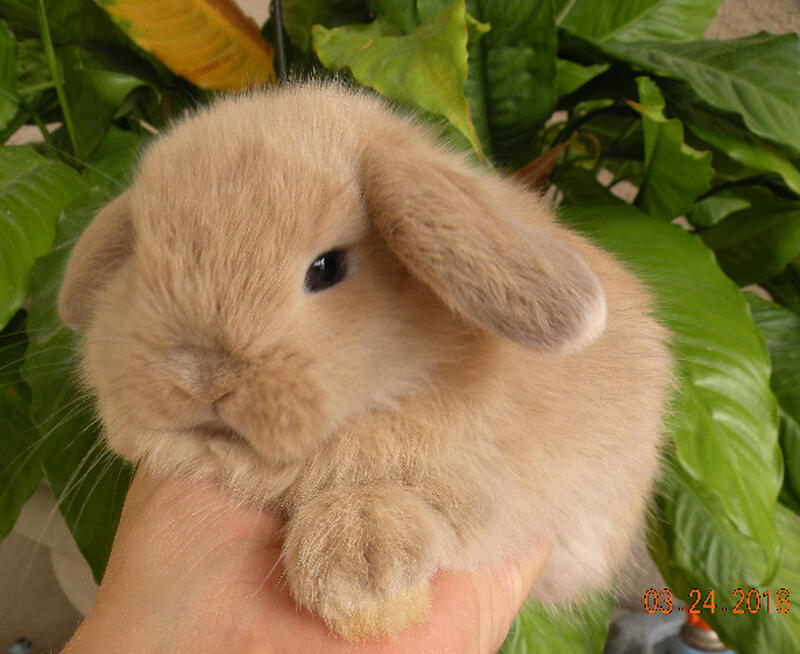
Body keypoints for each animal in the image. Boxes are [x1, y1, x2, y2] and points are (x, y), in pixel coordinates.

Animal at [58, 82, 673, 641]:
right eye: (141, 260)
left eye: (326, 268)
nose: (202, 376)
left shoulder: (502, 478)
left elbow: (434, 501)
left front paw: (357, 559)